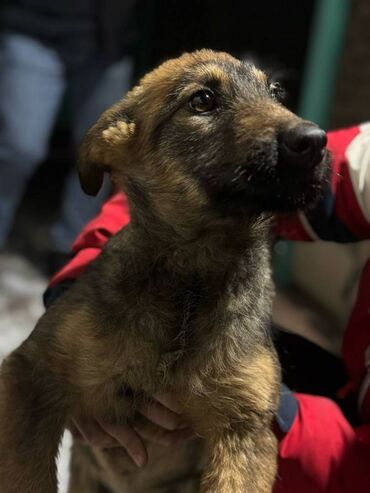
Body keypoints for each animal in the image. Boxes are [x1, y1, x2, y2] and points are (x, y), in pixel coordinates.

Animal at [0, 51, 328, 492]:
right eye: (202, 100)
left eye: (276, 93)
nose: (316, 141)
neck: (190, 281)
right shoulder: (30, 372)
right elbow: (28, 475)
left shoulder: (244, 429)